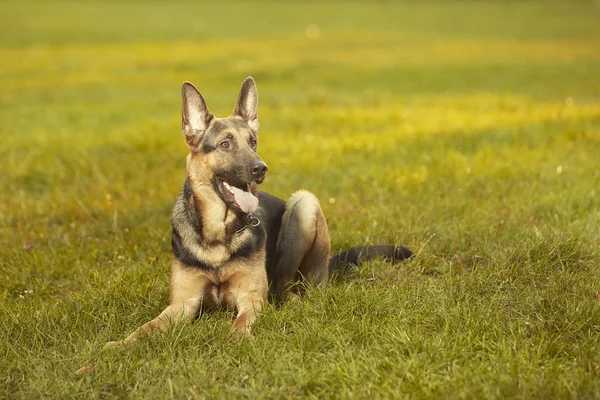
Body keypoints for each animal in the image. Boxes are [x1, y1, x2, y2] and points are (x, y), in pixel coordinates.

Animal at [104, 78, 412, 346]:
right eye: (225, 144)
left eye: (252, 142)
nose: (261, 169)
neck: (219, 234)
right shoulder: (182, 304)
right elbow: (147, 327)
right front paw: (118, 345)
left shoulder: (249, 298)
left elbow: (241, 321)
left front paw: (237, 338)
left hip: (304, 205)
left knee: (287, 285)